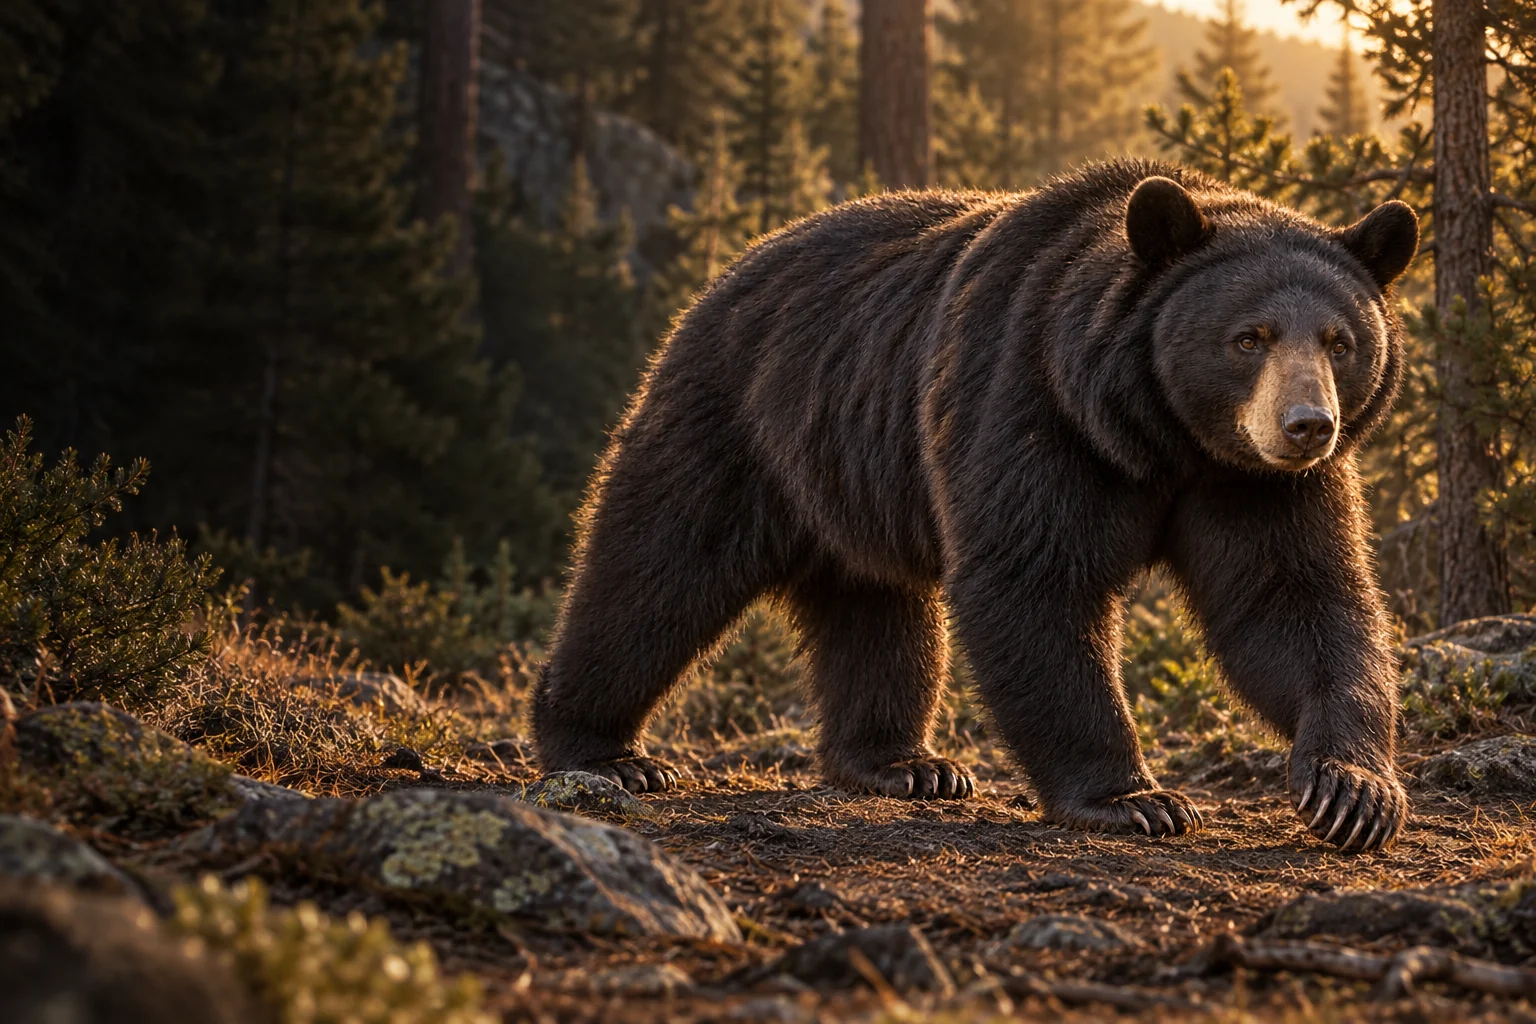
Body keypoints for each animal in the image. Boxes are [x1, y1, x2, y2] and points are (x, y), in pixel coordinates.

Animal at [531, 159, 1419, 852]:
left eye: (1341, 341)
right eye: (1250, 337)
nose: (1307, 425)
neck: (1156, 432)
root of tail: (724, 277)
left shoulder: (1252, 486)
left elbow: (1293, 599)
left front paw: (1351, 790)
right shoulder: (1033, 405)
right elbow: (1031, 580)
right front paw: (1135, 799)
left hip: (853, 470)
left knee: (880, 611)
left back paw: (903, 762)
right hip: (738, 419)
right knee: (658, 570)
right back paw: (603, 751)